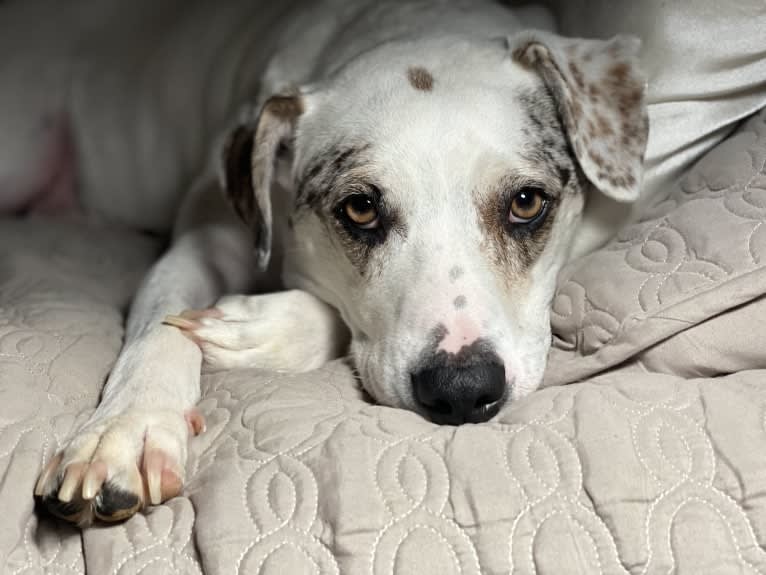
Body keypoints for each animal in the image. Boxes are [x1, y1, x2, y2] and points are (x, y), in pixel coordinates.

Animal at [25, 0, 648, 528]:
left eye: (525, 202)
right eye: (361, 209)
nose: (462, 389)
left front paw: (257, 328)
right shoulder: (204, 238)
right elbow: (161, 322)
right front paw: (127, 429)